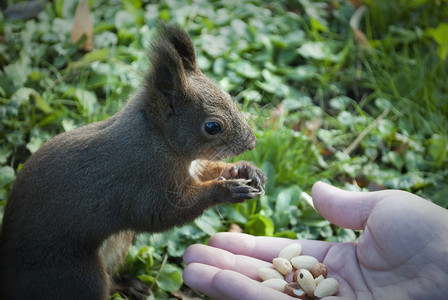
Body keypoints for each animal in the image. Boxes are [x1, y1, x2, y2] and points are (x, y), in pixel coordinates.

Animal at [0, 24, 266, 300]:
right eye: (212, 127)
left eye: (229, 97)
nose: (251, 143)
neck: (158, 138)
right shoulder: (142, 182)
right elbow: (161, 214)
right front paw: (226, 189)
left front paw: (245, 169)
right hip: (80, 276)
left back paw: (128, 285)